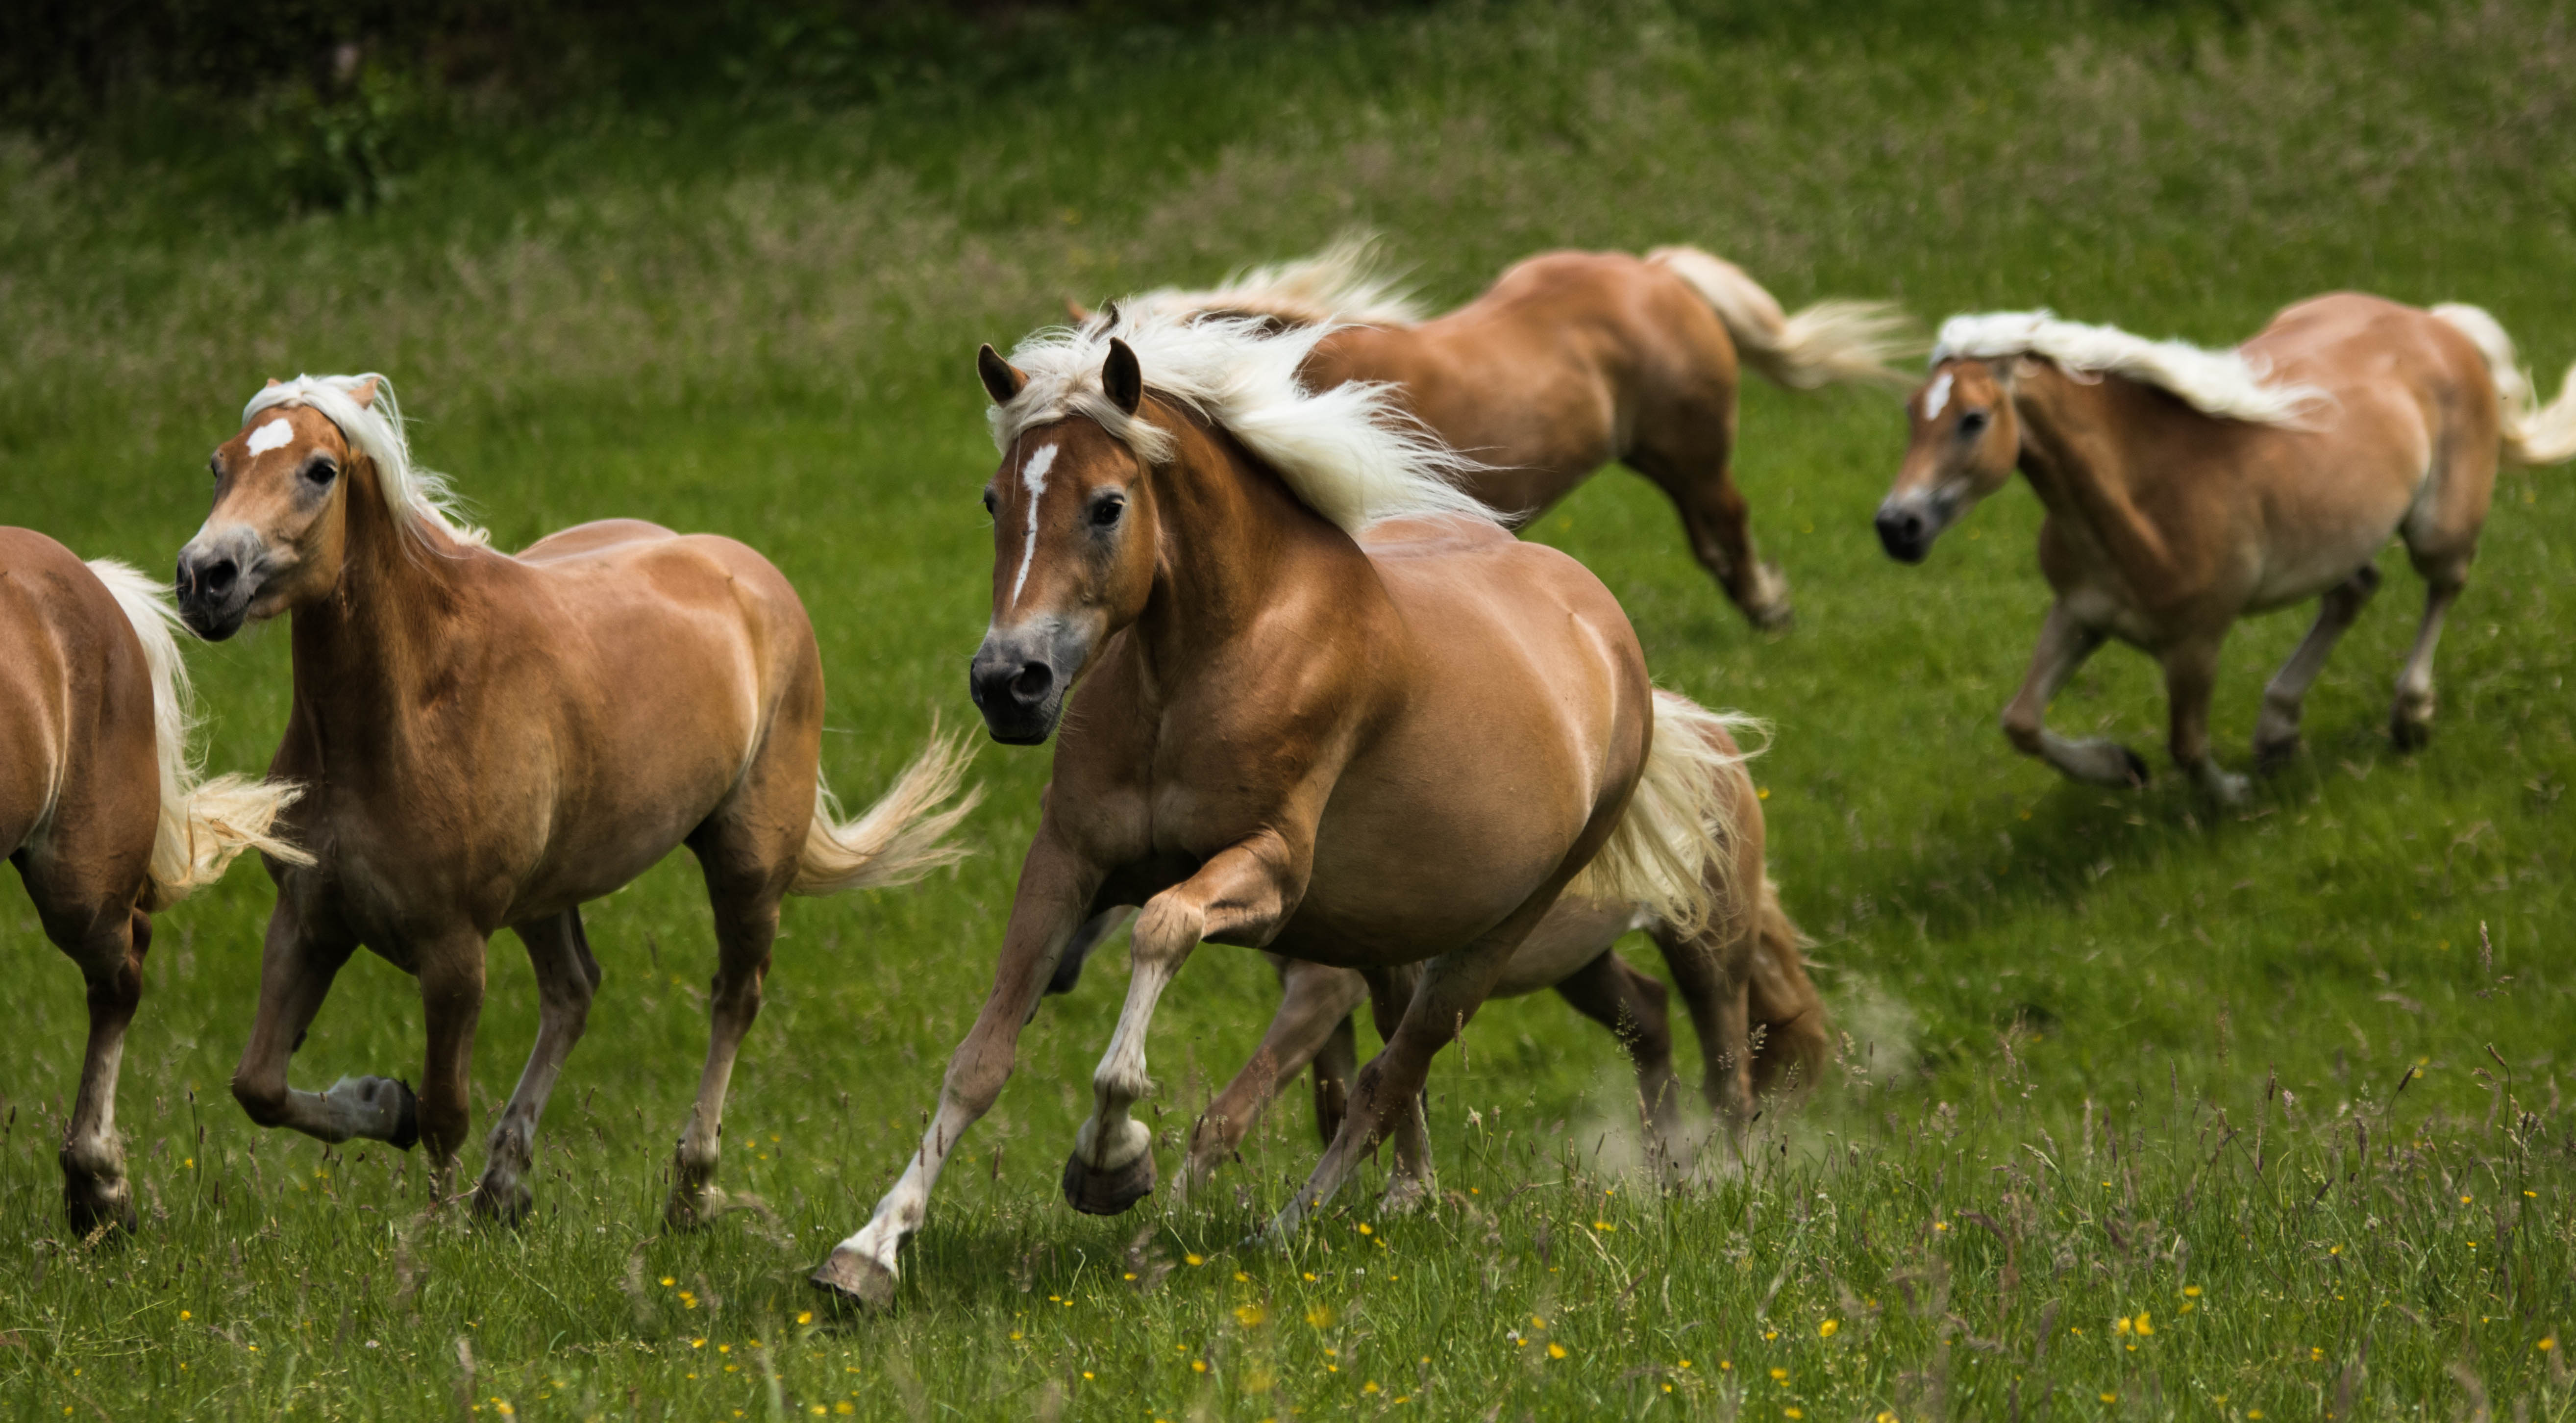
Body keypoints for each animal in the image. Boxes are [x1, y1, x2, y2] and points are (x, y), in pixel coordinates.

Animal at [171, 376, 973, 1222]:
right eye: (219, 464)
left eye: (320, 470)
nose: (205, 577)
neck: (412, 708)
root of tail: (747, 571)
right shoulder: (308, 919)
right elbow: (260, 1084)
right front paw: (382, 1103)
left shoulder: (453, 950)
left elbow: (445, 1111)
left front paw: (428, 1233)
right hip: (546, 894)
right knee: (574, 992)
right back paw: (504, 1184)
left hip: (748, 863)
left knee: (734, 996)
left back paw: (690, 1187)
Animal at [814, 305, 1741, 1304]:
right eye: (994, 501)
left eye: (1107, 505)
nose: (1008, 684)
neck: (1205, 662)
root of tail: (1602, 621)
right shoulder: (1066, 861)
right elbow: (980, 1060)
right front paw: (867, 1252)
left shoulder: (1265, 875)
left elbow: (1163, 933)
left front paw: (1111, 1161)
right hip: (1387, 931)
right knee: (1390, 1072)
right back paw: (1398, 1200)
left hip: (1492, 939)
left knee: (1389, 1075)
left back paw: (1284, 1231)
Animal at [1087, 236, 1916, 626]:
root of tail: (1658, 274)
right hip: (1658, 457)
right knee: (1708, 533)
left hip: (1696, 449)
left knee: (1730, 519)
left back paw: (1768, 609)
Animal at [1875, 292, 2576, 799]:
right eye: (1911, 411)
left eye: (1973, 419)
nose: (1896, 526)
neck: (2142, 502)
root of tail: (2436, 324)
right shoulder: (2078, 614)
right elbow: (2020, 721)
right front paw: (2121, 767)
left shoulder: (2196, 642)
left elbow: (2187, 746)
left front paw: (2233, 794)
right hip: (2336, 535)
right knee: (2354, 593)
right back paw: (2278, 731)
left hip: (2438, 527)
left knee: (2444, 583)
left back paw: (2410, 715)